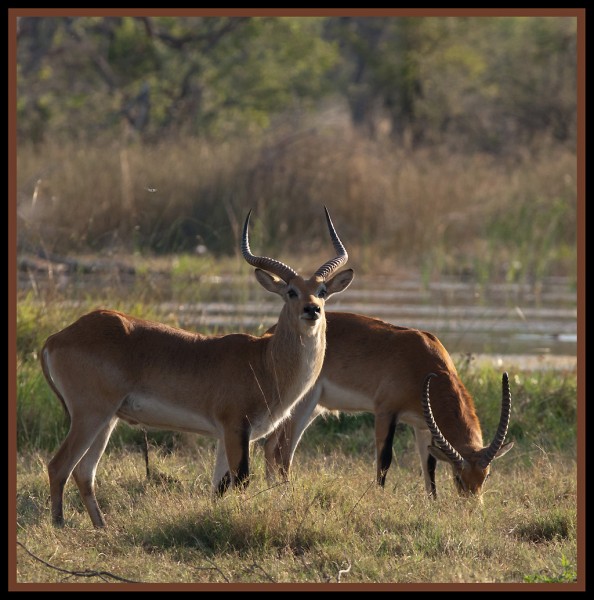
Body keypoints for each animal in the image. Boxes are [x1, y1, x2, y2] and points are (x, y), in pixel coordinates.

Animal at [40, 209, 352, 528]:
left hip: (107, 419)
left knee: (84, 472)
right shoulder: (235, 428)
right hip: (90, 415)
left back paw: (102, 527)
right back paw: (60, 525)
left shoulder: (227, 436)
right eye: (291, 291)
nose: (312, 310)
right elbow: (240, 481)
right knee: (59, 466)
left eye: (322, 290)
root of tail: (57, 337)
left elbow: (218, 487)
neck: (264, 361)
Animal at [262, 312, 512, 500]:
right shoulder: (385, 412)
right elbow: (384, 460)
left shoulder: (423, 425)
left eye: (486, 475)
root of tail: (271, 333)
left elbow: (428, 467)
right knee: (283, 449)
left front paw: (433, 503)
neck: (424, 362)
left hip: (305, 408)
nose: (472, 505)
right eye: (458, 477)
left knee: (271, 445)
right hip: (303, 403)